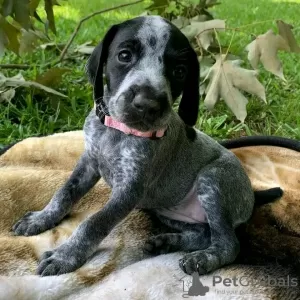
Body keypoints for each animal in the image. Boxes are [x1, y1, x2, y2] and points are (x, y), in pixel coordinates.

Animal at [13, 14, 282, 276]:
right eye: (124, 56)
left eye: (179, 71)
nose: (148, 104)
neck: (116, 131)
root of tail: (252, 195)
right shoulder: (88, 161)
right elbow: (64, 192)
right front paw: (41, 218)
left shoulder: (129, 190)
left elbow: (94, 222)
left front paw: (66, 255)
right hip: (171, 212)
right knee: (204, 233)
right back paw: (168, 242)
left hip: (213, 178)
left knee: (228, 244)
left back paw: (203, 259)